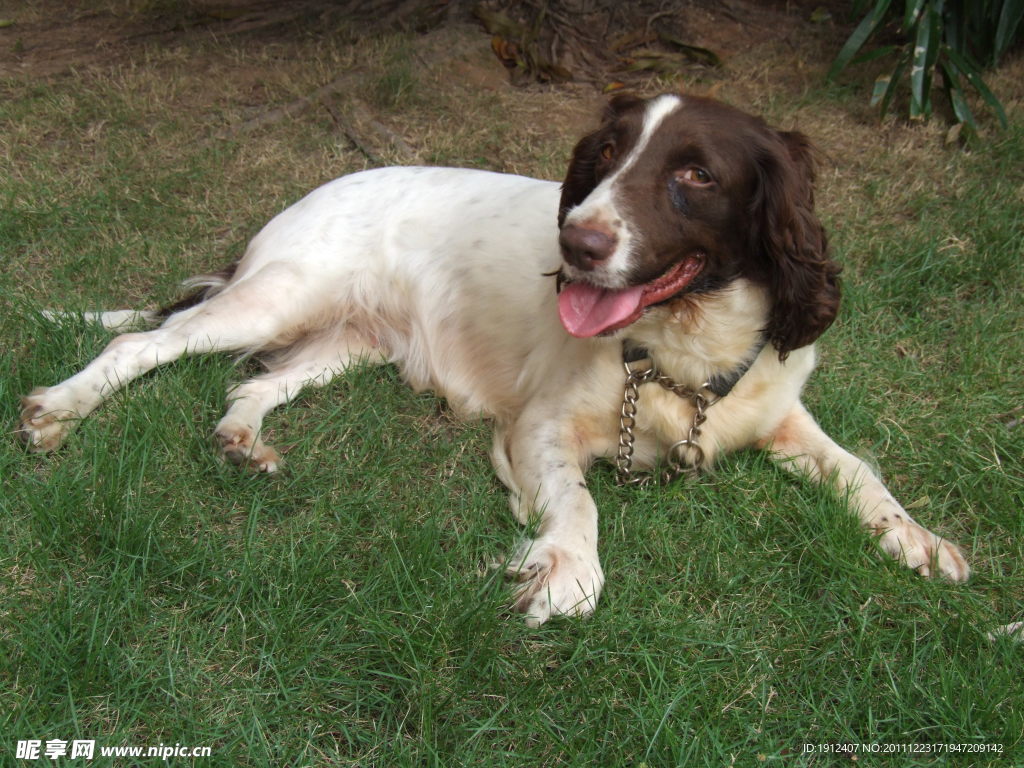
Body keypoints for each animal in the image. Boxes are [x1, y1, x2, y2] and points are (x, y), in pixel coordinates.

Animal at [19, 94, 970, 626]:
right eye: (602, 157)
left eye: (697, 174)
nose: (577, 243)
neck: (682, 345)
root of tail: (297, 202)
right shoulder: (539, 428)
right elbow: (580, 505)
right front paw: (566, 575)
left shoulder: (777, 411)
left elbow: (859, 469)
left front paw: (919, 539)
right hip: (280, 295)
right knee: (145, 341)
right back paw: (58, 410)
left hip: (352, 341)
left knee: (259, 379)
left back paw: (242, 439)